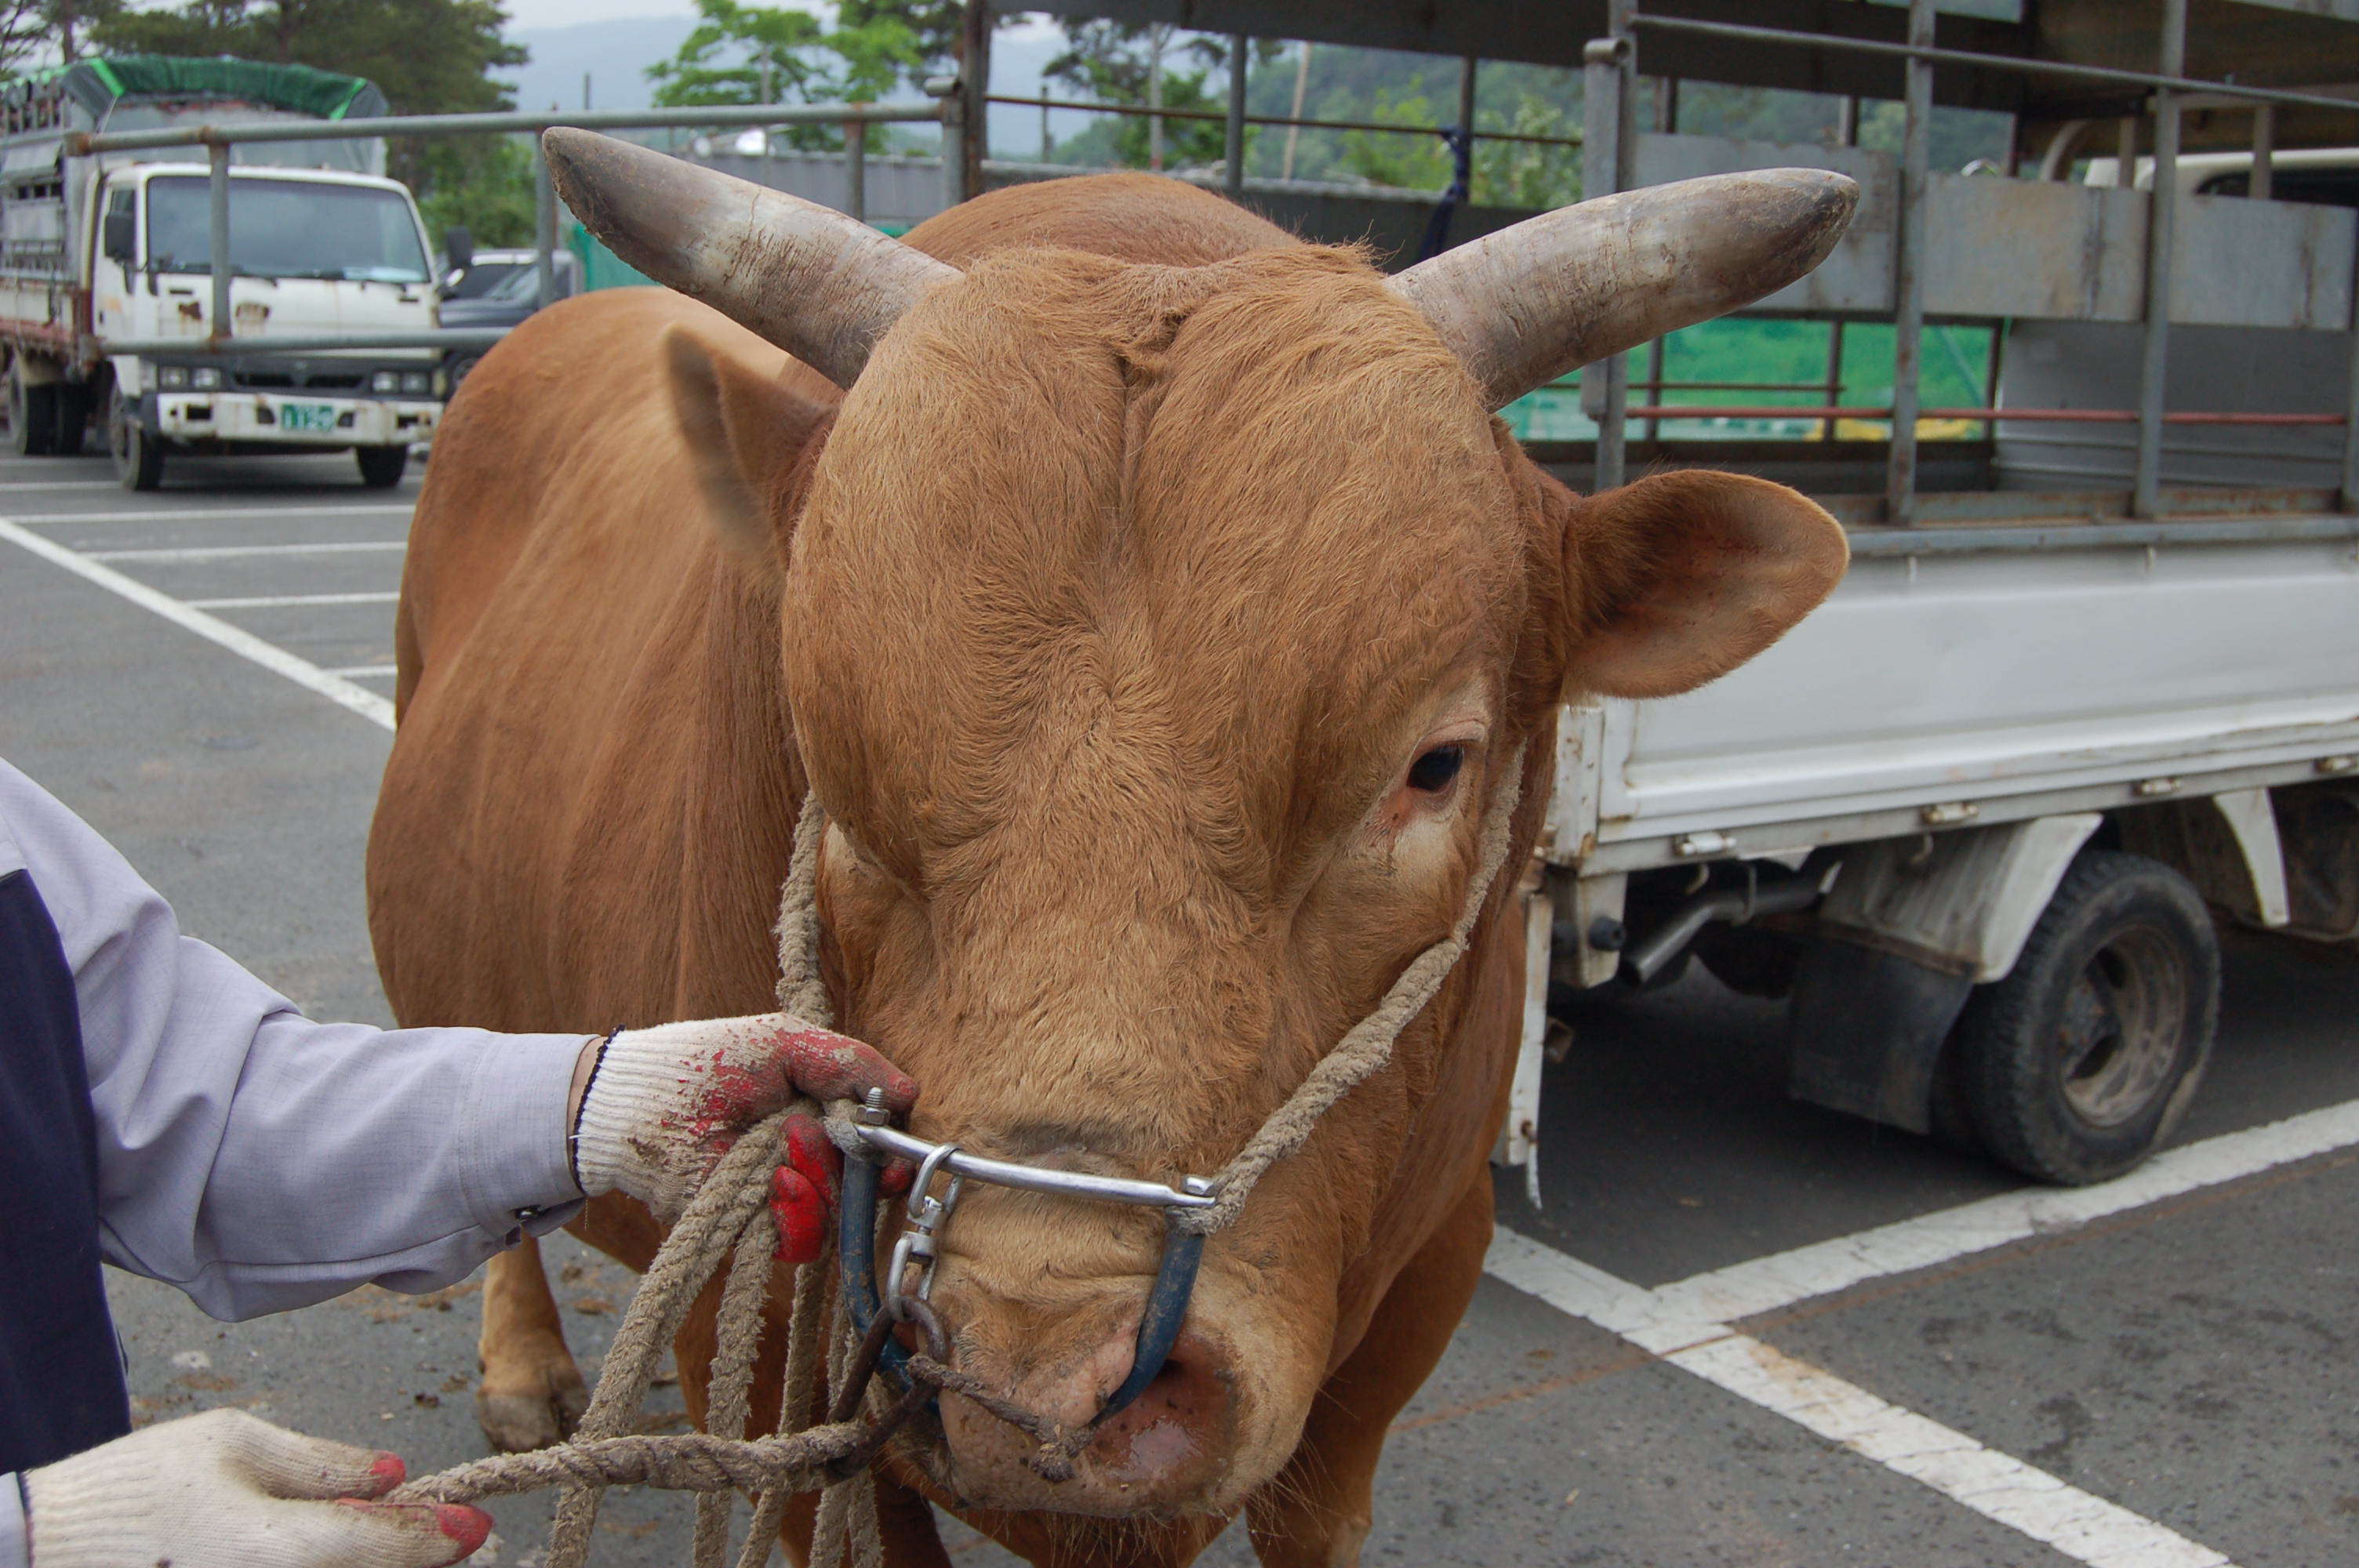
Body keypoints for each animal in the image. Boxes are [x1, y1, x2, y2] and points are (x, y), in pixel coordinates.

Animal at [368, 140, 1849, 1555]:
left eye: (1433, 766)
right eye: (834, 769)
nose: (1036, 1371)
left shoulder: (1390, 1356)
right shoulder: (778, 1373)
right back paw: (521, 1364)